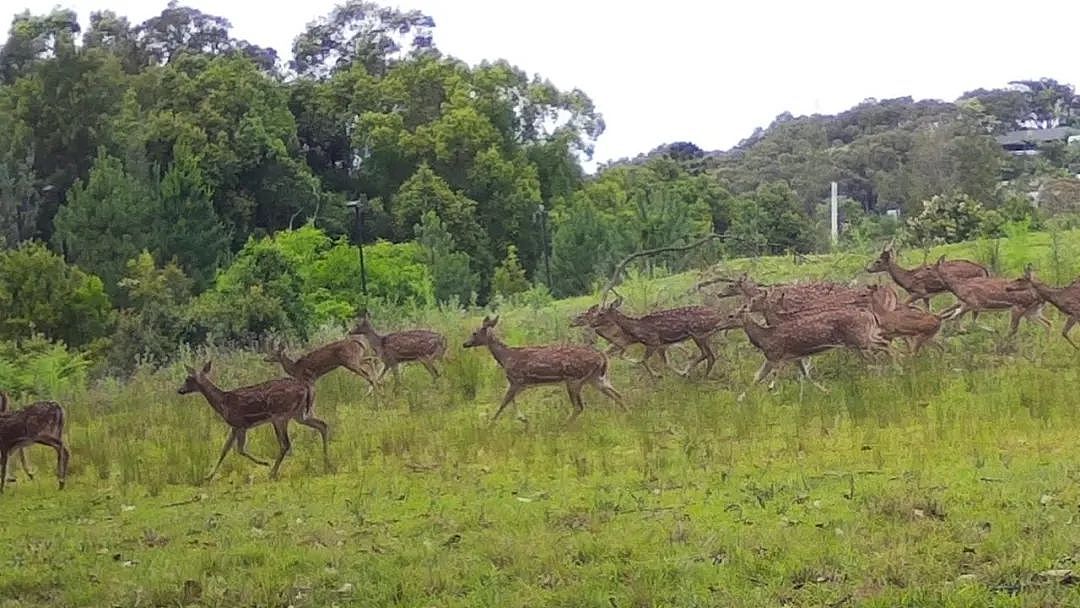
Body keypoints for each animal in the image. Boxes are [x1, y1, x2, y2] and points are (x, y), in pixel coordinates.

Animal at [174, 360, 328, 481]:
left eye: (188, 379)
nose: (180, 390)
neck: (222, 403)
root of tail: (305, 387)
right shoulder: (234, 426)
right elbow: (225, 449)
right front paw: (208, 476)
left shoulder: (240, 424)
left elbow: (240, 449)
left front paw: (265, 463)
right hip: (300, 414)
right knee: (323, 425)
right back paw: (327, 462)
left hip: (280, 415)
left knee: (285, 444)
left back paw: (272, 473)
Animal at [462, 317, 626, 425]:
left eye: (475, 333)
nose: (465, 344)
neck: (505, 358)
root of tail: (602, 357)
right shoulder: (520, 384)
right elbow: (510, 400)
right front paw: (522, 418)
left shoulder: (516, 380)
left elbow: (504, 402)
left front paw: (490, 424)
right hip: (596, 378)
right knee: (617, 394)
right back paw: (627, 413)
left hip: (574, 379)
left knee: (579, 407)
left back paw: (563, 426)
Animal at [591, 298, 734, 377]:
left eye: (601, 314)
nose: (592, 323)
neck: (636, 328)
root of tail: (718, 314)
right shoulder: (662, 345)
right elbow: (665, 363)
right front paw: (676, 373)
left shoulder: (652, 341)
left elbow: (643, 361)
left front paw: (657, 375)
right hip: (701, 335)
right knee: (709, 355)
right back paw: (694, 372)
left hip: (698, 333)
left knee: (708, 355)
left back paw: (694, 373)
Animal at [730, 304, 889, 395]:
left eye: (731, 315)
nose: (727, 318)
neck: (764, 338)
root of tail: (869, 315)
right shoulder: (794, 357)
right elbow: (805, 375)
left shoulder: (776, 356)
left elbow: (766, 378)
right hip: (862, 338)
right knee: (884, 344)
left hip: (859, 339)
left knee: (878, 352)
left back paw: (882, 375)